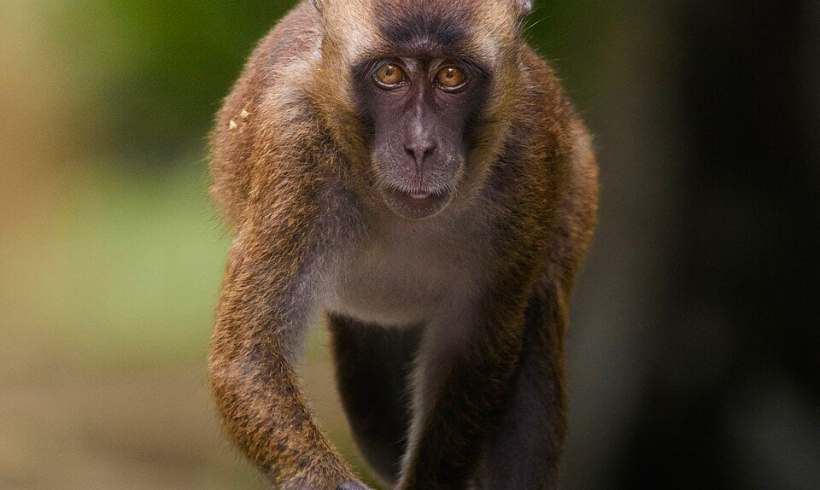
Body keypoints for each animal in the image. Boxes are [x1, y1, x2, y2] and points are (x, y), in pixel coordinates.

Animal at [207, 0, 598, 489]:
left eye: (451, 76)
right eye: (390, 74)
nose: (420, 147)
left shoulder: (530, 147)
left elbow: (475, 349)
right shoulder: (294, 141)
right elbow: (250, 357)